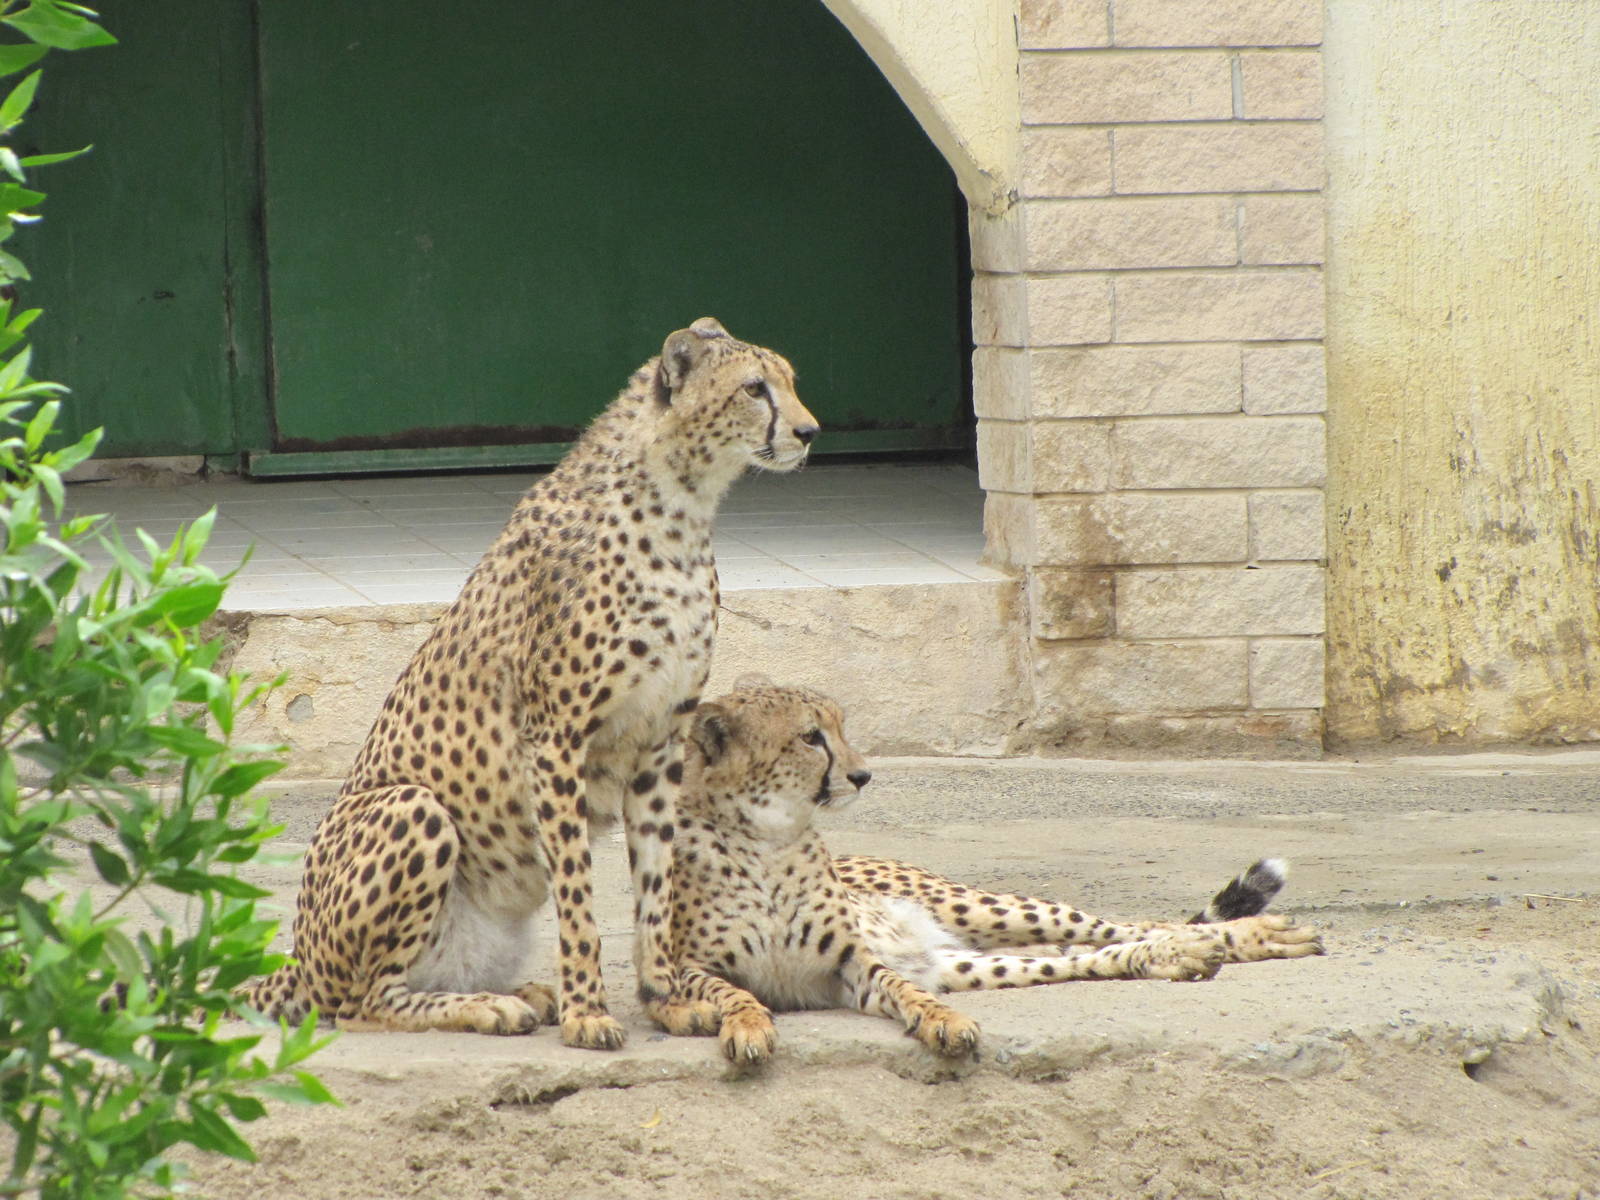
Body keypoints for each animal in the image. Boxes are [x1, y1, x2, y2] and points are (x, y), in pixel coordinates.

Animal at [242, 318, 819, 1050]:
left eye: (791, 381)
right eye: (753, 388)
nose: (809, 431)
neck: (682, 504)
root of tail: (296, 963)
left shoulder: (660, 744)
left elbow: (654, 889)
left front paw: (664, 999)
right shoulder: (555, 741)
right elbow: (578, 894)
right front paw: (588, 1012)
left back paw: (519, 993)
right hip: (411, 807)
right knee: (360, 1001)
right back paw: (491, 1007)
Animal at [669, 678, 1323, 1064]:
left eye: (838, 729)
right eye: (811, 737)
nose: (862, 774)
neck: (768, 839)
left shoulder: (853, 963)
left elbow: (902, 990)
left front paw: (941, 1021)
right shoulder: (698, 968)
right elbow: (730, 992)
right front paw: (746, 1025)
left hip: (977, 907)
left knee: (1125, 925)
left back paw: (1244, 936)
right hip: (959, 959)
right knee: (1079, 957)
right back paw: (1182, 957)